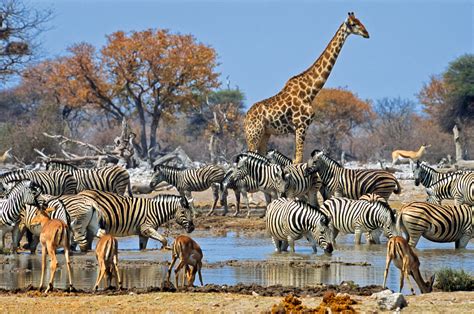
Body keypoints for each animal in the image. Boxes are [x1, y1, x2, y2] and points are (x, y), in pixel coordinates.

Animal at [244, 12, 370, 163]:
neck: (310, 91)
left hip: (265, 134)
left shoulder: (298, 129)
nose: (367, 33)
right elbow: (298, 159)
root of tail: (245, 118)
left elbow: (296, 159)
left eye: (360, 21)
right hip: (254, 135)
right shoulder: (301, 126)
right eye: (353, 24)